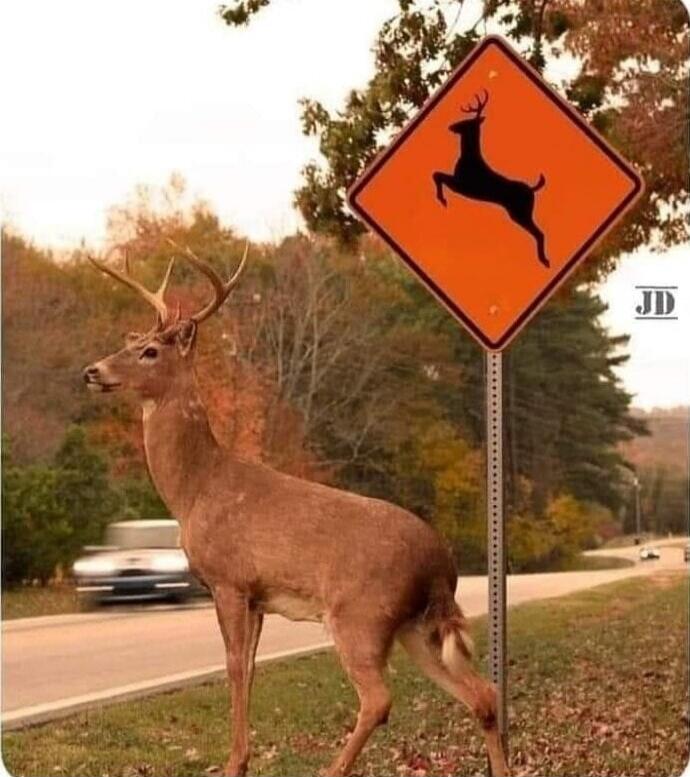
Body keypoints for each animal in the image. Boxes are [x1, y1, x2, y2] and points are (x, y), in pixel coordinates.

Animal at [83, 243, 507, 777]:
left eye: (150, 351)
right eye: (134, 340)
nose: (92, 371)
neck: (196, 488)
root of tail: (442, 565)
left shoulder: (229, 579)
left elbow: (234, 666)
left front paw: (234, 763)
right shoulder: (259, 596)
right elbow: (249, 669)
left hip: (361, 613)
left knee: (379, 699)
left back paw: (332, 768)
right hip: (416, 625)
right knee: (483, 694)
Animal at [433, 89, 550, 268]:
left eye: (467, 122)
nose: (451, 126)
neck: (468, 157)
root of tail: (532, 189)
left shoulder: (462, 185)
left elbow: (437, 175)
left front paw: (443, 200)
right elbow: (437, 174)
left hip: (520, 212)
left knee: (539, 233)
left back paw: (544, 261)